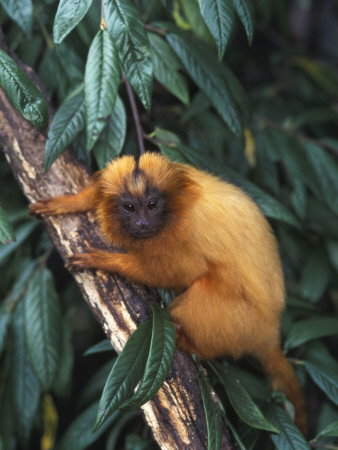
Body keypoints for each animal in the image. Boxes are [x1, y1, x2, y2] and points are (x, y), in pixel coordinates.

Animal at [30, 153, 308, 434]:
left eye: (153, 205)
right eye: (129, 207)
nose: (143, 223)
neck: (176, 209)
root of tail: (270, 332)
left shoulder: (185, 233)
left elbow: (182, 272)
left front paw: (105, 260)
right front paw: (72, 202)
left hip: (242, 324)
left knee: (200, 291)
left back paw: (190, 343)